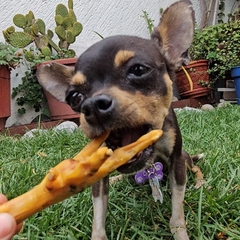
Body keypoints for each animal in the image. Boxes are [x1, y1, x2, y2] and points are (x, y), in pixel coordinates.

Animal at [36, 0, 203, 239]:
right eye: (74, 97)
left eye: (138, 70)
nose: (92, 106)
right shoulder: (98, 175)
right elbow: (98, 217)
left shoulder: (176, 161)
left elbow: (177, 212)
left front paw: (180, 233)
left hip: (186, 157)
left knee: (195, 166)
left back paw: (200, 182)